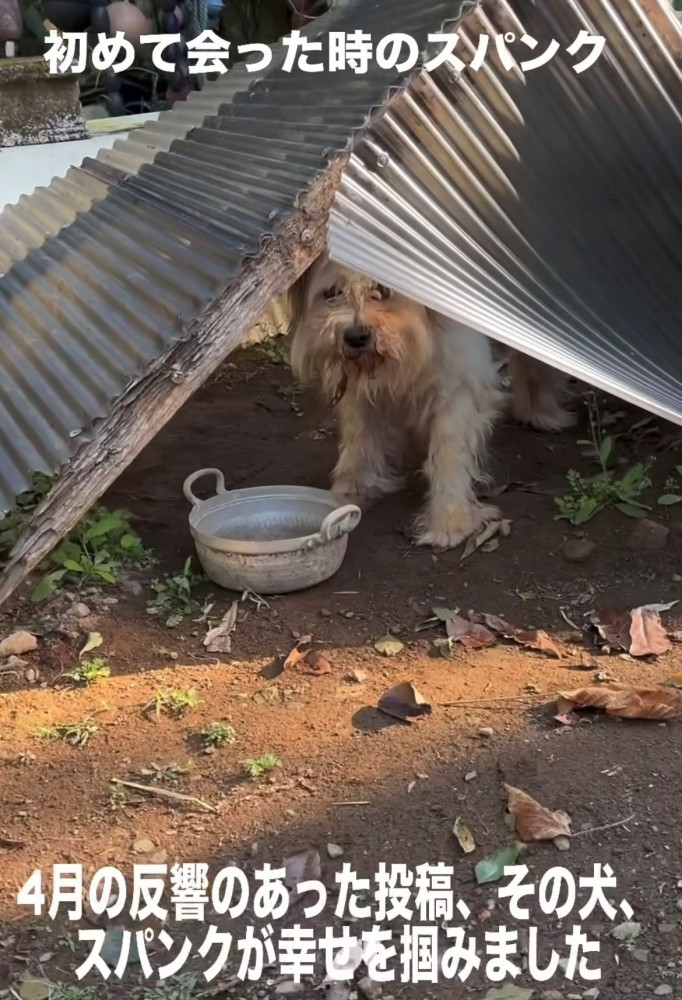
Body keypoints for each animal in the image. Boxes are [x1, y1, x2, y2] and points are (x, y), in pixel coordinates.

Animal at [290, 250, 572, 548]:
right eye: (333, 291)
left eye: (383, 289)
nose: (355, 336)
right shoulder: (360, 395)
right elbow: (360, 442)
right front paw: (349, 493)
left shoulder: (457, 388)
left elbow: (450, 453)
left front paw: (450, 521)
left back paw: (543, 412)